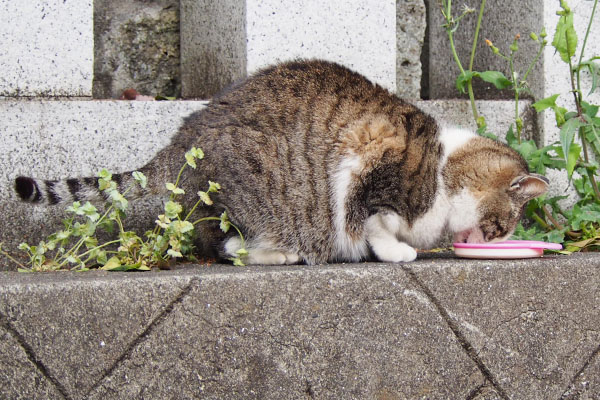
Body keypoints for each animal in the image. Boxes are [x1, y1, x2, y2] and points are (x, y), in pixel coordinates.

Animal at [14, 58, 548, 266]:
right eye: (503, 227)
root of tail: (182, 136)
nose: (491, 241)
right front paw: (396, 250)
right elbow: (371, 219)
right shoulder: (366, 162)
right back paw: (283, 253)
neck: (441, 171)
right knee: (226, 245)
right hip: (253, 197)